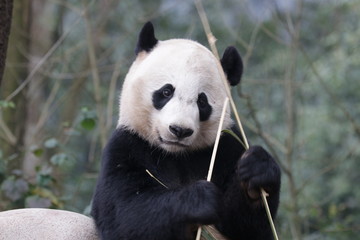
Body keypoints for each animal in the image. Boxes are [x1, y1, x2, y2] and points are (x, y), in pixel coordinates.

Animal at [92, 22, 282, 240]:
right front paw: (201, 198)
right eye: (166, 91)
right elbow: (124, 214)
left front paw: (256, 171)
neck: (177, 154)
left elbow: (248, 228)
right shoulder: (128, 146)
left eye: (202, 101)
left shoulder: (225, 148)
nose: (180, 130)